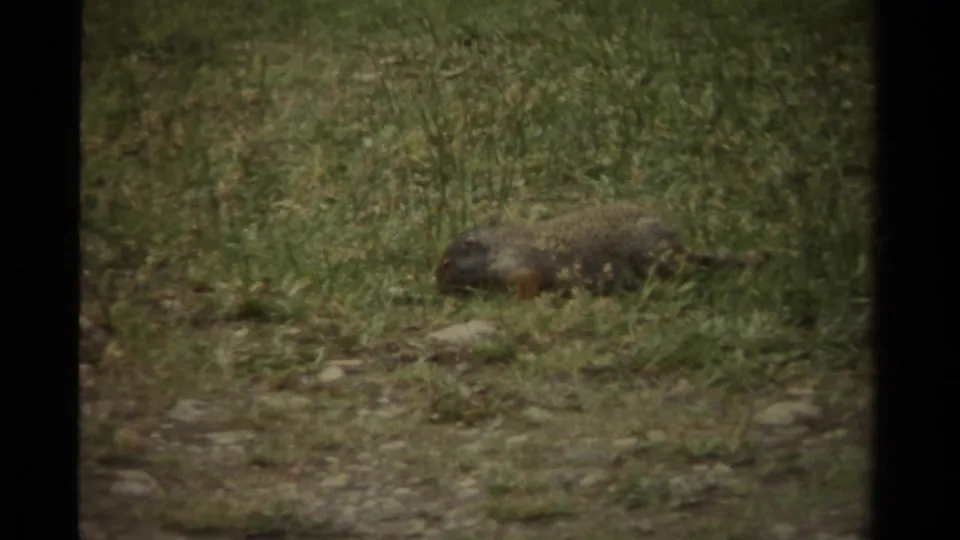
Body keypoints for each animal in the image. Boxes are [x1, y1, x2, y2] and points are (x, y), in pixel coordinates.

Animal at [435, 202, 771, 300]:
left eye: (447, 264)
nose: (438, 285)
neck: (497, 246)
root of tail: (677, 245)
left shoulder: (515, 262)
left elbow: (526, 281)